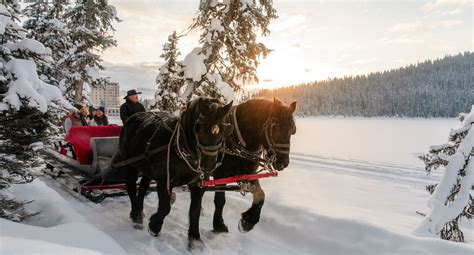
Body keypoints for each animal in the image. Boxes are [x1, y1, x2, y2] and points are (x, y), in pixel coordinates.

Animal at [115, 97, 233, 247]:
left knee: (142, 187)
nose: (208, 165)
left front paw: (195, 239)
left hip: (146, 168)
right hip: (130, 164)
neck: (181, 144)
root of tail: (132, 118)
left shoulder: (198, 184)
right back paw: (136, 216)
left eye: (224, 129)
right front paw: (154, 226)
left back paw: (140, 211)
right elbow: (165, 207)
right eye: (198, 126)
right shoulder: (164, 179)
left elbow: (195, 211)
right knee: (130, 186)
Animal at [212, 97, 296, 235]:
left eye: (292, 130)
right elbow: (220, 200)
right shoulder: (220, 174)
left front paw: (248, 221)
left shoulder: (248, 174)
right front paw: (219, 224)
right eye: (274, 126)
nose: (283, 163)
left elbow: (260, 196)